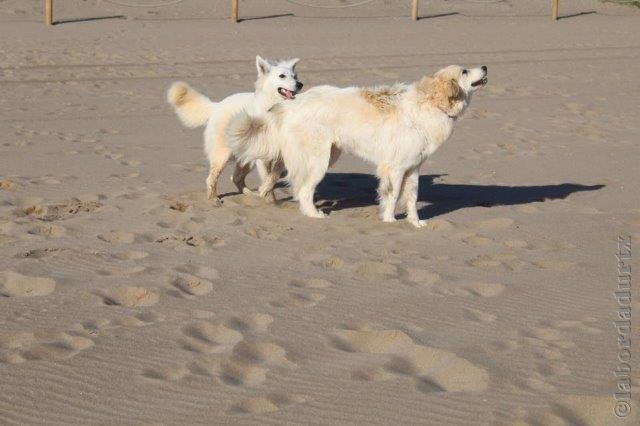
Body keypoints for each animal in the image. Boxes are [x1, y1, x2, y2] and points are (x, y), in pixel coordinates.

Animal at [168, 55, 302, 202]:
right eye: (282, 76)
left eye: (295, 76)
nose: (300, 84)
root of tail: (217, 105)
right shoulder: (263, 157)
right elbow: (268, 178)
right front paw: (270, 200)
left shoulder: (281, 154)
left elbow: (273, 176)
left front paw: (266, 195)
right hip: (223, 155)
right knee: (211, 179)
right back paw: (213, 200)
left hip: (247, 157)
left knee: (236, 177)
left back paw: (250, 194)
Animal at [228, 64, 488, 226]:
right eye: (464, 71)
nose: (485, 67)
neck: (431, 104)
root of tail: (291, 104)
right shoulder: (394, 168)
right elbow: (392, 196)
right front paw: (390, 222)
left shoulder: (413, 168)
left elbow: (412, 198)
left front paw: (415, 223)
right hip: (319, 160)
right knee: (303, 191)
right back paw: (315, 215)